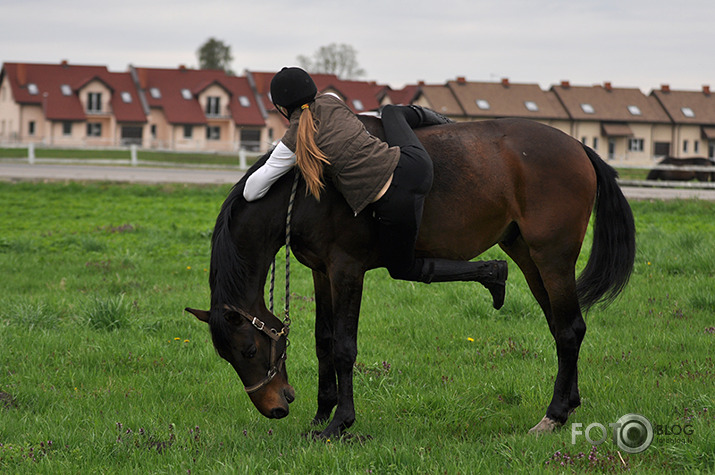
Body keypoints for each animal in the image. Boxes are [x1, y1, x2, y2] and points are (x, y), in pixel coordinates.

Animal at [186, 117, 636, 440]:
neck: (310, 188)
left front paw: (339, 423)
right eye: (228, 356)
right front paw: (320, 412)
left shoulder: (347, 269)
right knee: (562, 327)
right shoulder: (321, 271)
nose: (275, 407)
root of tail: (579, 147)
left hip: (552, 257)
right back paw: (566, 403)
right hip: (527, 255)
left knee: (569, 330)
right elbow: (323, 341)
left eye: (248, 350)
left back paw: (554, 415)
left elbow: (345, 348)